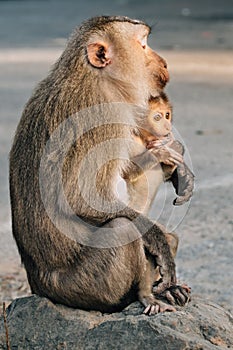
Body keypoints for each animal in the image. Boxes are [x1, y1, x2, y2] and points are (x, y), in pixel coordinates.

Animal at [9, 16, 189, 314]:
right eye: (143, 45)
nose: (164, 62)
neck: (97, 78)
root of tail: (38, 286)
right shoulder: (105, 117)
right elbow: (83, 199)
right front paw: (158, 241)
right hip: (85, 286)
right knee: (122, 227)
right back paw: (139, 294)